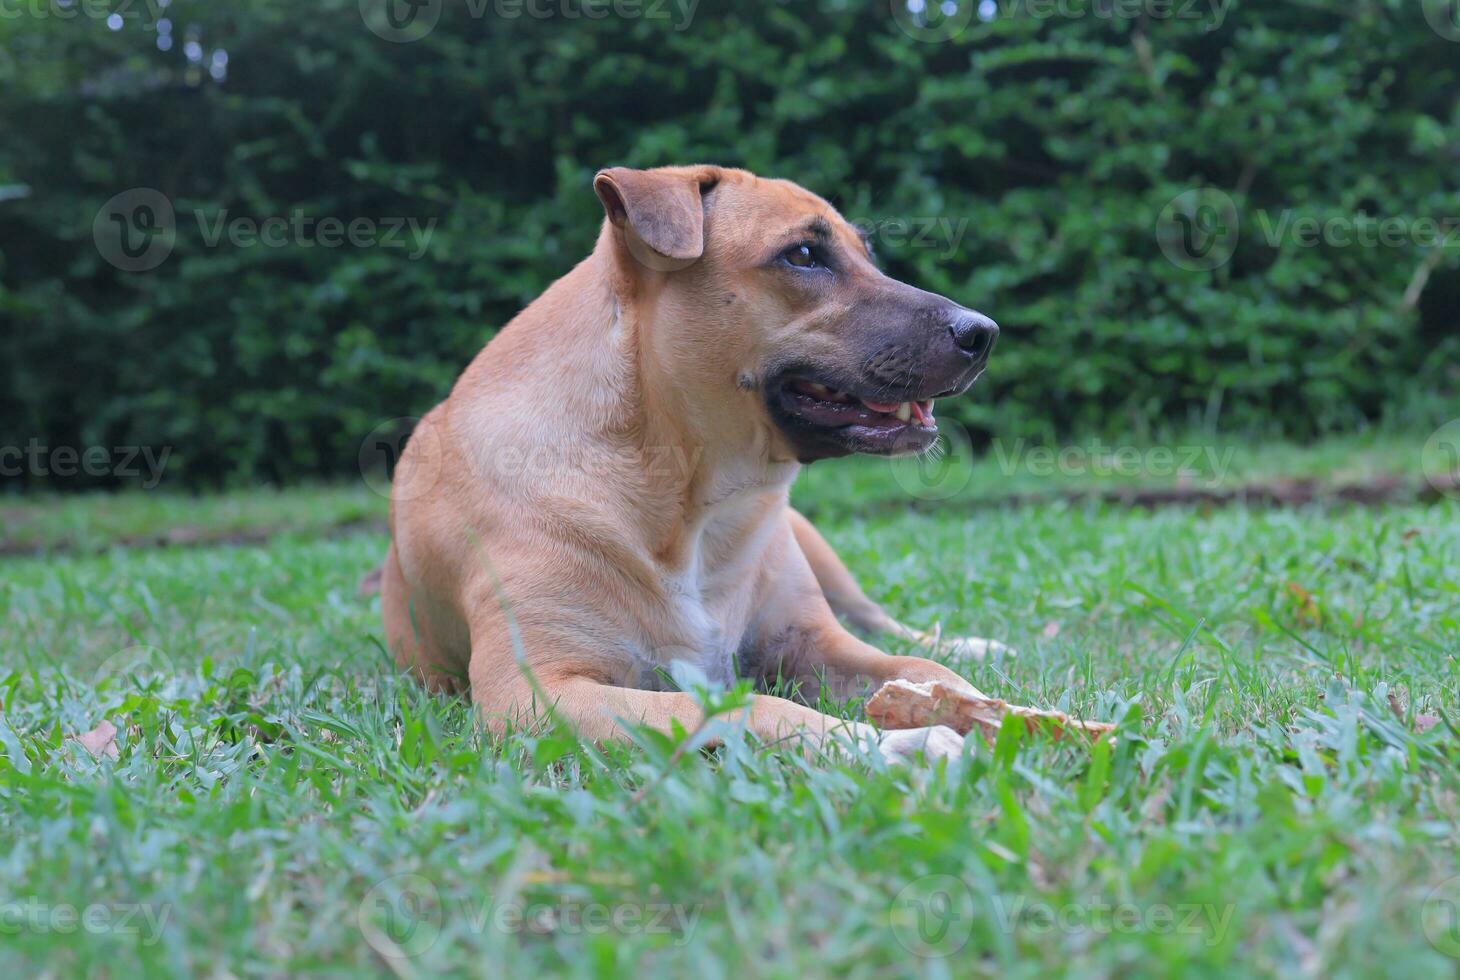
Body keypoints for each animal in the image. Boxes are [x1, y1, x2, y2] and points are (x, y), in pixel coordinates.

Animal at [382, 165, 1010, 765]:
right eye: (803, 255)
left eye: (868, 254)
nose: (983, 333)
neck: (691, 498)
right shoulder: (535, 694)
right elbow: (750, 706)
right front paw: (891, 742)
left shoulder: (814, 641)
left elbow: (921, 669)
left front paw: (984, 708)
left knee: (880, 619)